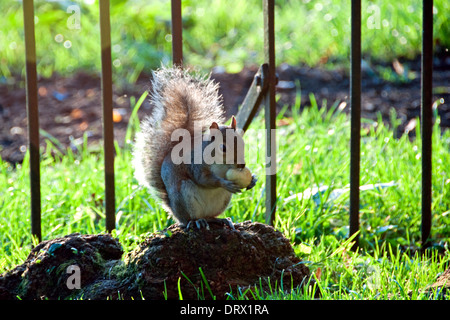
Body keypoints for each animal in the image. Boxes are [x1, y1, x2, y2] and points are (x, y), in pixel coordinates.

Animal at [132, 66, 255, 229]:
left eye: (242, 142)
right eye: (223, 147)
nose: (242, 164)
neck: (222, 164)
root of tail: (174, 211)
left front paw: (253, 180)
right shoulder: (196, 164)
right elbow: (203, 179)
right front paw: (224, 183)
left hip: (222, 201)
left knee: (210, 216)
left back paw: (220, 220)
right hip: (184, 196)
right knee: (190, 218)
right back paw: (197, 221)